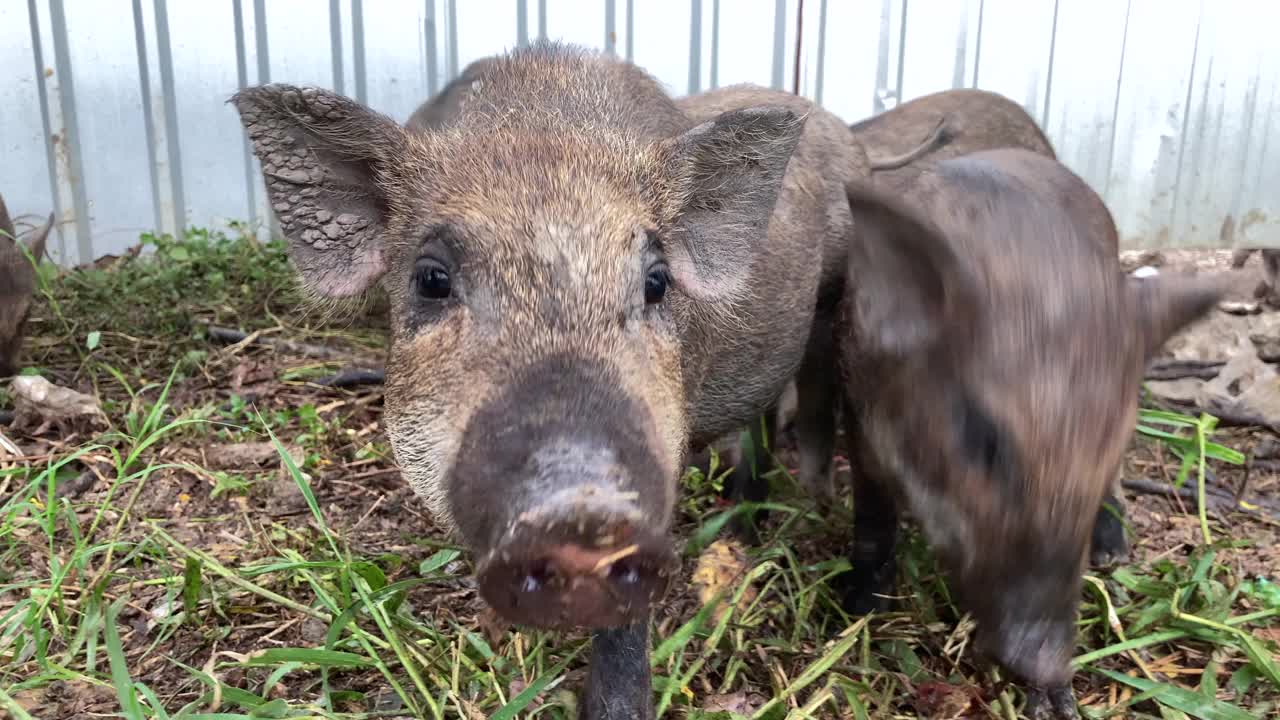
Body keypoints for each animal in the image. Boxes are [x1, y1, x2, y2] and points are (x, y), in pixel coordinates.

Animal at [834, 147, 1233, 717]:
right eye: (982, 439)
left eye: (1106, 444)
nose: (1048, 661)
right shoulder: (856, 408)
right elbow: (872, 513)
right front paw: (858, 606)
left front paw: (1057, 704)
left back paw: (1113, 555)